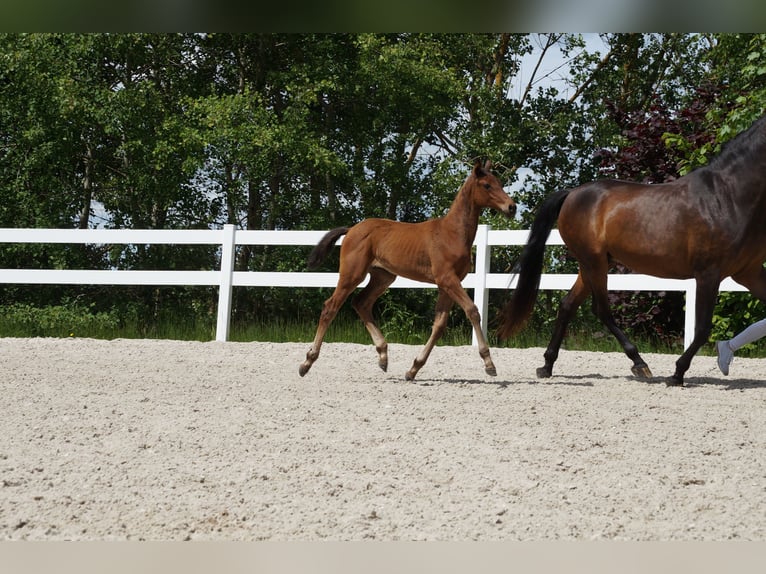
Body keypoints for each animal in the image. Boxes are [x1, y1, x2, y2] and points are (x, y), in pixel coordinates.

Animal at [299, 160, 516, 381]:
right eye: (487, 185)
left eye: (499, 182)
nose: (512, 207)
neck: (452, 233)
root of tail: (351, 230)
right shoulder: (447, 279)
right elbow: (472, 310)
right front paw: (489, 363)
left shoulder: (447, 284)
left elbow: (439, 325)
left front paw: (413, 369)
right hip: (352, 274)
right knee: (330, 307)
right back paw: (307, 362)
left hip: (383, 277)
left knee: (361, 303)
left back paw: (383, 355)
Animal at [498, 114, 766, 386]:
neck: (727, 197)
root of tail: (572, 193)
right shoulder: (708, 274)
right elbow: (701, 330)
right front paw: (677, 374)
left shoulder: (748, 272)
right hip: (594, 262)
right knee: (601, 310)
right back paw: (639, 363)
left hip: (591, 264)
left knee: (567, 306)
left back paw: (547, 366)